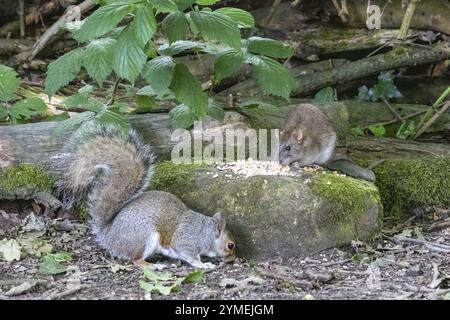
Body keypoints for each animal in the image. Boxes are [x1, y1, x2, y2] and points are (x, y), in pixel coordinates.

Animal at [57, 122, 236, 268]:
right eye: (230, 245)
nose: (233, 259)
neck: (207, 232)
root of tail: (108, 235)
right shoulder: (187, 241)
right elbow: (189, 255)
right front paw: (204, 265)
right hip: (146, 237)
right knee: (136, 260)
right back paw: (154, 266)